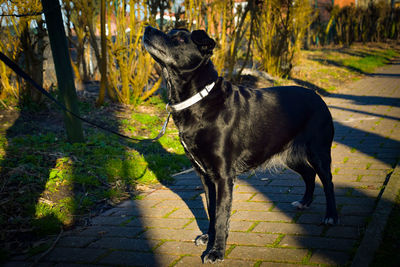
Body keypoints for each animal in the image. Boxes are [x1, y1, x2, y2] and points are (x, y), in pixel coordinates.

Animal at [144, 26, 338, 264]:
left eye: (179, 38)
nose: (147, 28)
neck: (199, 100)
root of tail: (317, 96)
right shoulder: (205, 175)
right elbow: (211, 209)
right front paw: (208, 238)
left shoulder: (223, 176)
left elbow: (221, 215)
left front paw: (216, 251)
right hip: (291, 155)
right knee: (309, 175)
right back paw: (304, 202)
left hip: (318, 151)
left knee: (327, 181)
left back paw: (331, 216)